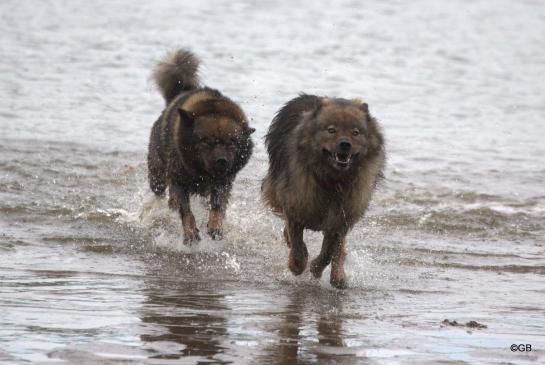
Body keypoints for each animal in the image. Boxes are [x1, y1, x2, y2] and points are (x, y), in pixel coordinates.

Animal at [146, 48, 254, 242]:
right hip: (157, 177)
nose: (222, 161)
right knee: (161, 194)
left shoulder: (223, 181)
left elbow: (218, 206)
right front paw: (190, 233)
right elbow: (185, 210)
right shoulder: (178, 181)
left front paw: (215, 227)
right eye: (206, 141)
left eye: (232, 143)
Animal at [262, 94, 384, 288]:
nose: (345, 144)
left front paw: (316, 269)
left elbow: (329, 251)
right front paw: (298, 265)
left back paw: (338, 276)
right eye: (331, 130)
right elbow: (297, 244)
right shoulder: (295, 206)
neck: (333, 181)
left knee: (339, 250)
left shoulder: (340, 219)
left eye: (355, 132)